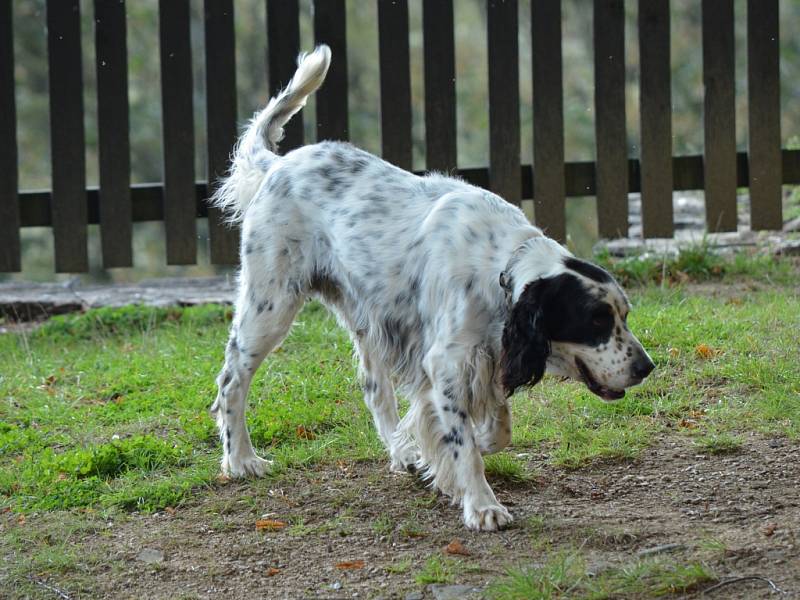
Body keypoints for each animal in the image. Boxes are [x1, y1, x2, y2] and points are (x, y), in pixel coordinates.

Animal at [211, 48, 656, 536]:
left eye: (624, 316)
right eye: (596, 320)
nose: (646, 367)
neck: (500, 268)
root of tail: (278, 166)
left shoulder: (481, 356)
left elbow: (495, 427)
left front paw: (445, 452)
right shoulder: (447, 360)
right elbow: (466, 445)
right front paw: (481, 504)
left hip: (366, 318)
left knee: (373, 388)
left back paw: (400, 452)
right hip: (270, 305)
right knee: (231, 381)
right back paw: (241, 460)